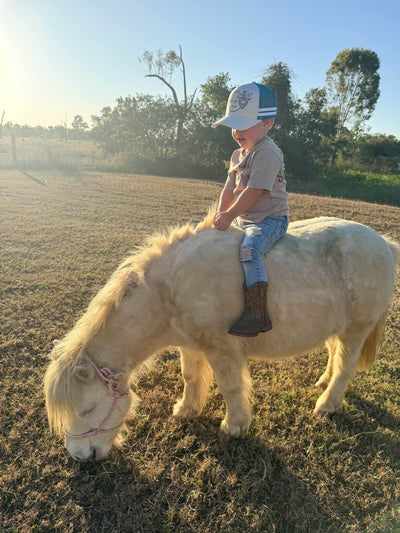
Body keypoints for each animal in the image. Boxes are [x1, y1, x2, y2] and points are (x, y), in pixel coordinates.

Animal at [44, 214, 400, 460]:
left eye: (86, 409)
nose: (79, 456)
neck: (171, 288)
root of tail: (384, 243)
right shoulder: (189, 344)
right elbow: (190, 376)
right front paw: (186, 409)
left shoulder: (221, 349)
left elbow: (230, 388)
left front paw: (235, 426)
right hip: (337, 328)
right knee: (333, 355)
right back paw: (322, 382)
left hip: (356, 329)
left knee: (345, 366)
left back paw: (327, 404)